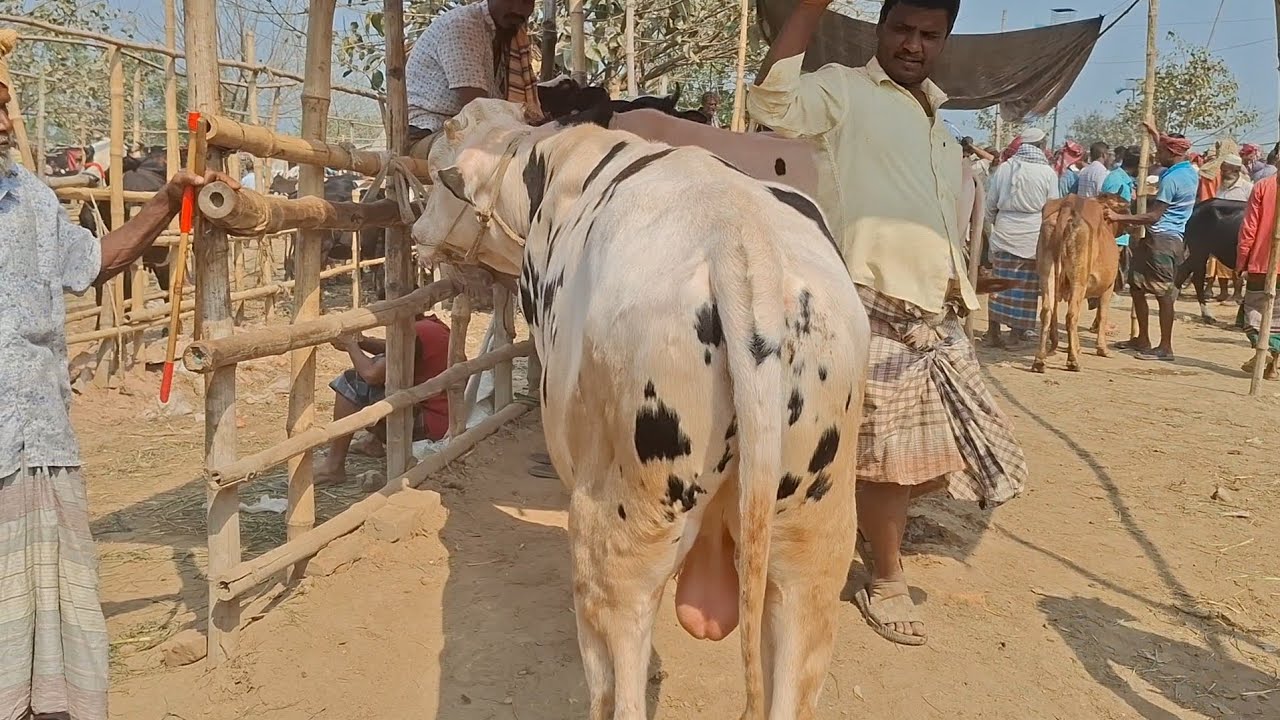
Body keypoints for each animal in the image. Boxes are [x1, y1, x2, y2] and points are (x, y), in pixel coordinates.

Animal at [413, 99, 869, 718]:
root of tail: (741, 246)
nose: (417, 232)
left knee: (618, 649)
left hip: (619, 524)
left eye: (439, 174)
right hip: (812, 532)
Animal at [1032, 193, 1132, 373]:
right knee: (1071, 315)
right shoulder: (1108, 287)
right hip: (1079, 279)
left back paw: (1040, 360)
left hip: (1046, 273)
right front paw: (1102, 349)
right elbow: (1102, 314)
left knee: (1047, 312)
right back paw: (1073, 361)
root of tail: (1067, 206)